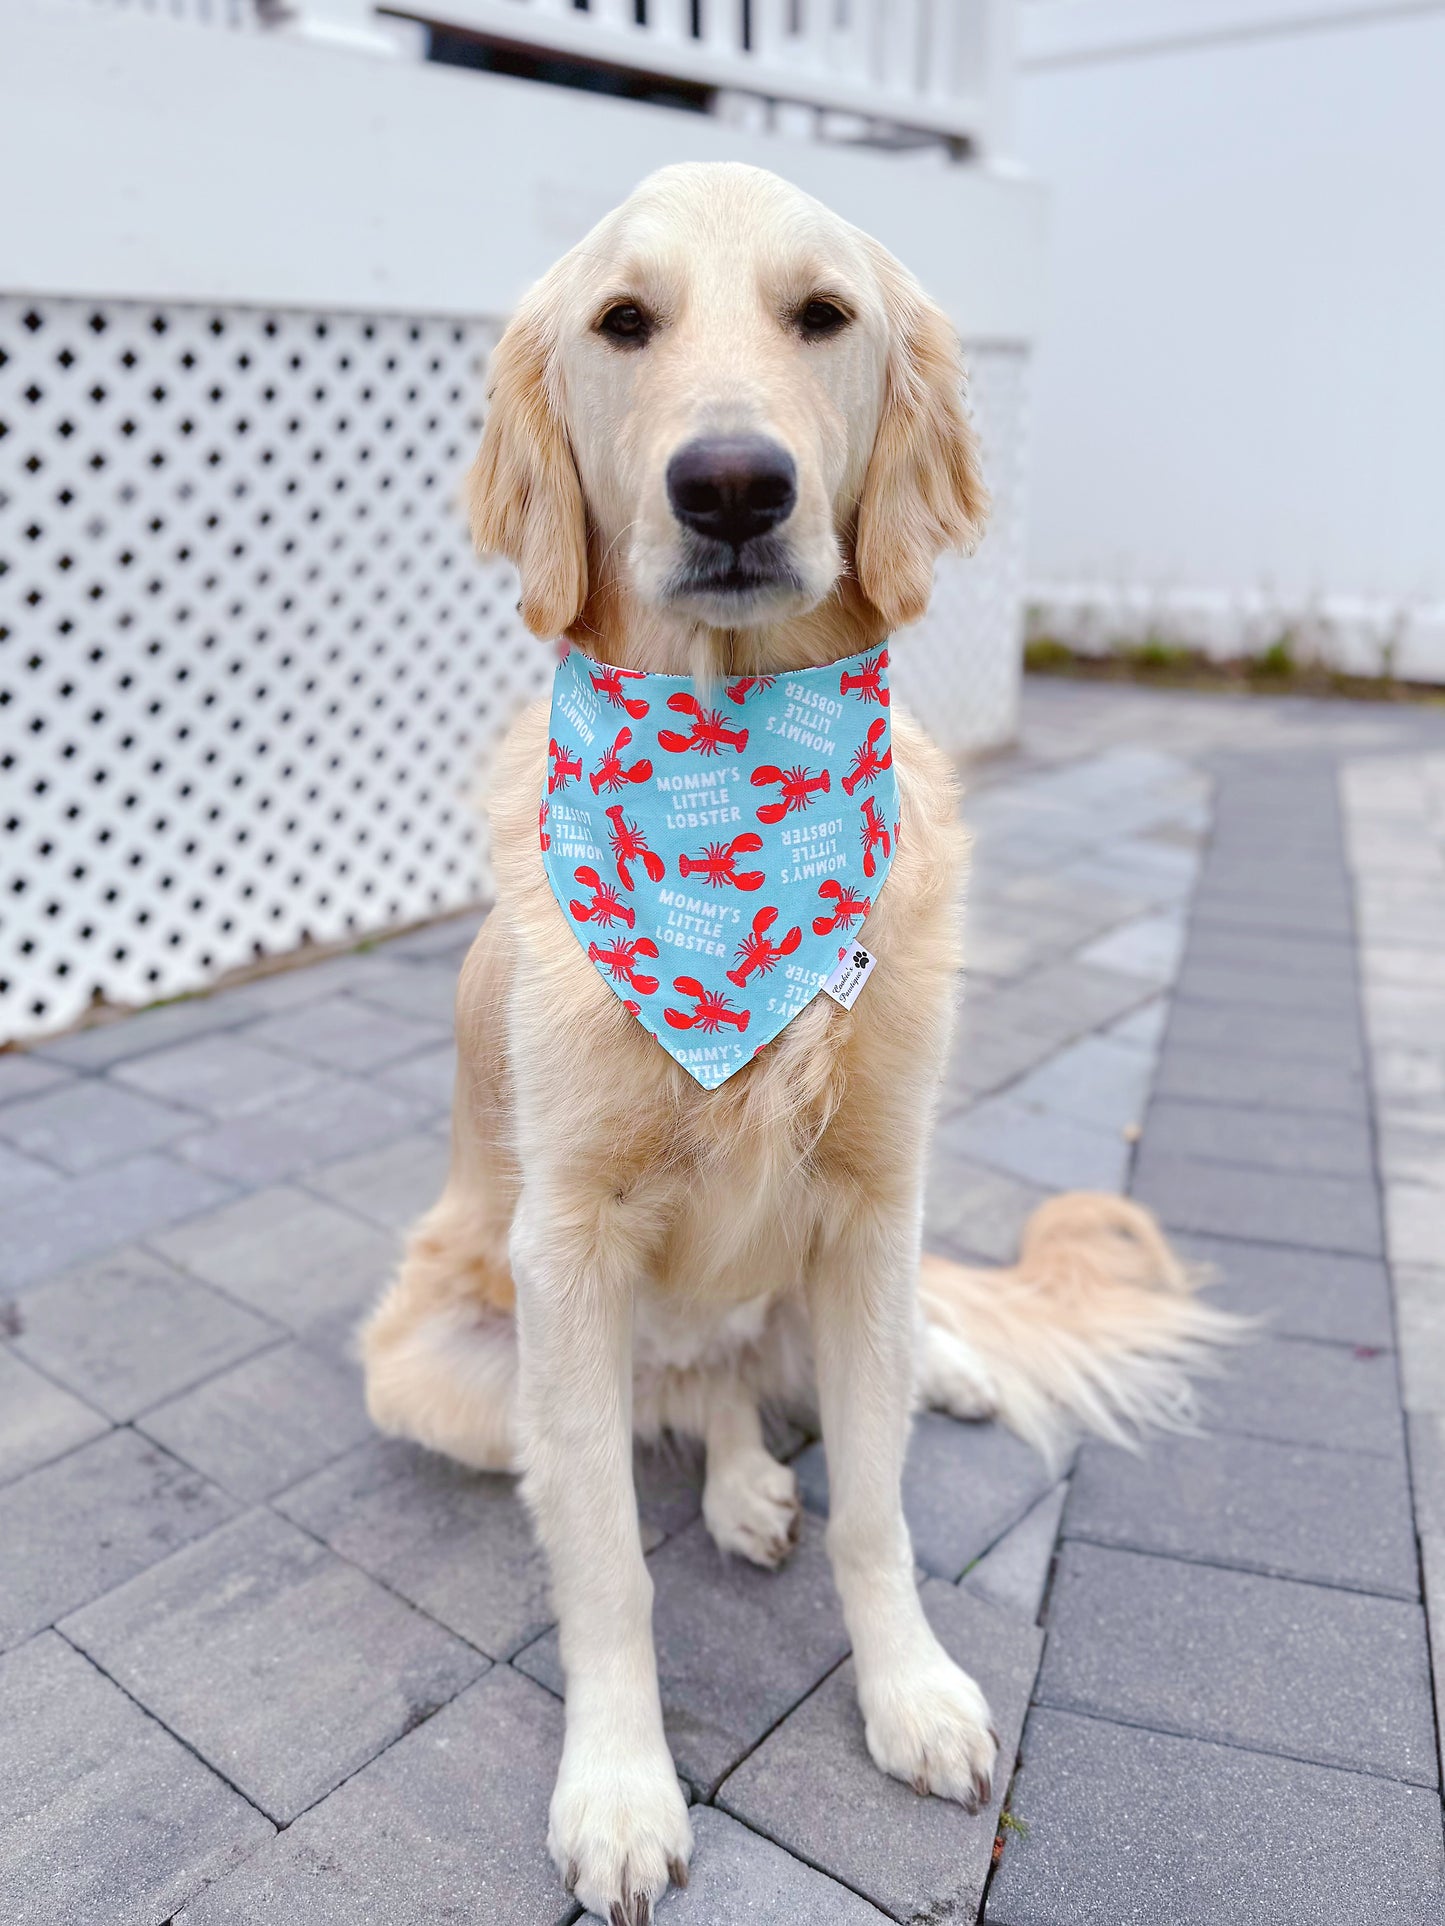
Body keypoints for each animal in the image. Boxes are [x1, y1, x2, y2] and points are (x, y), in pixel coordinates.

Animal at [362, 165, 1233, 1926]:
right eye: (624, 323)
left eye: (821, 315)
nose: (731, 486)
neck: (732, 791)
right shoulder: (568, 1245)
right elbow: (606, 1561)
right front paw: (620, 1786)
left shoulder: (874, 1199)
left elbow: (878, 1512)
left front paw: (909, 1692)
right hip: (448, 1367)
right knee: (678, 1400)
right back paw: (741, 1476)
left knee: (813, 1369)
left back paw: (899, 1392)